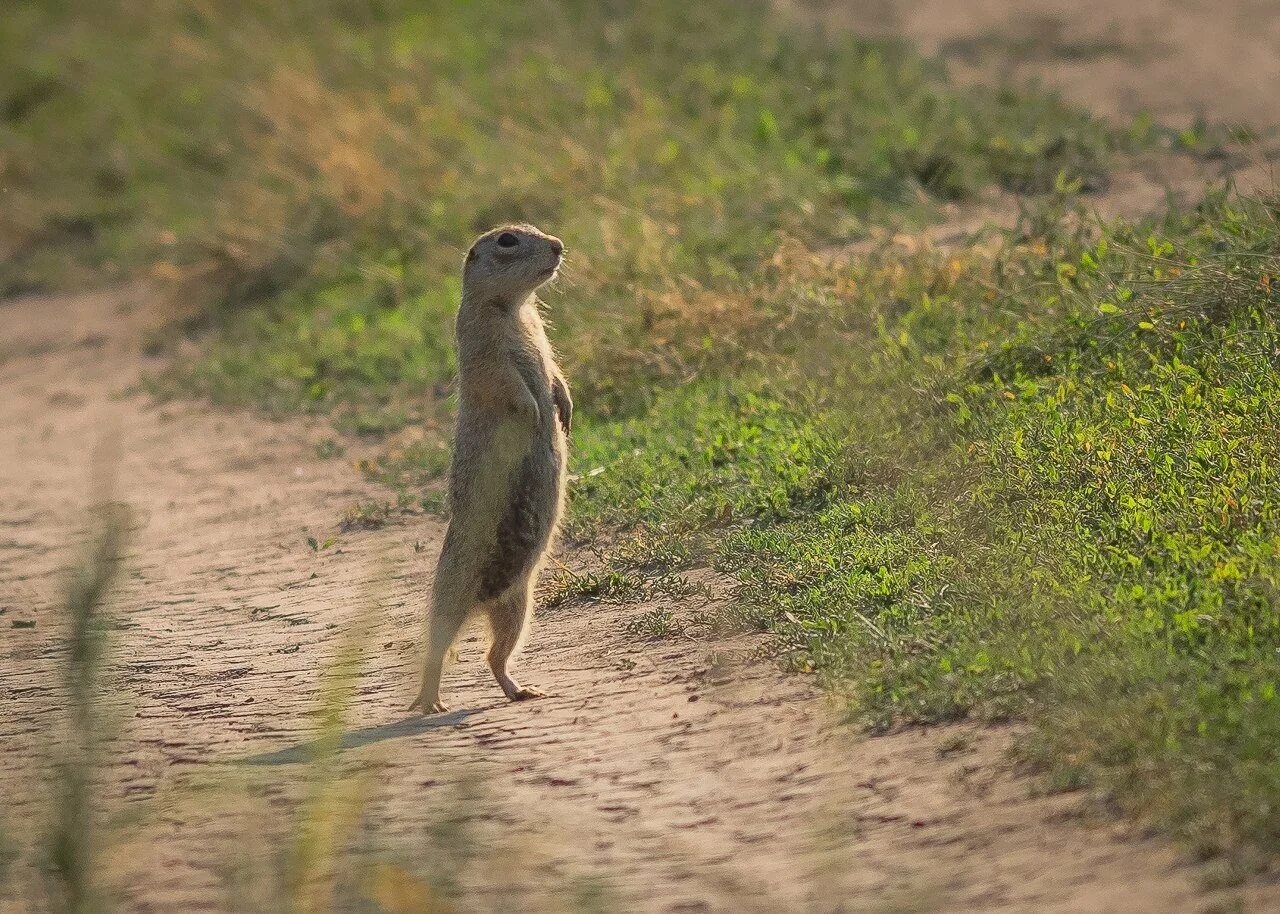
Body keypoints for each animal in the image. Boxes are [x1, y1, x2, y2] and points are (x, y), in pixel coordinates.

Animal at [409, 220, 570, 711]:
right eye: (507, 240)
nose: (559, 246)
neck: (514, 310)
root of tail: (483, 602)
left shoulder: (542, 341)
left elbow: (555, 373)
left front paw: (564, 409)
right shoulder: (483, 348)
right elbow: (511, 385)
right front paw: (536, 414)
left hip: (517, 606)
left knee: (493, 655)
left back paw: (521, 690)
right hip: (453, 591)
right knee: (437, 649)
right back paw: (429, 699)